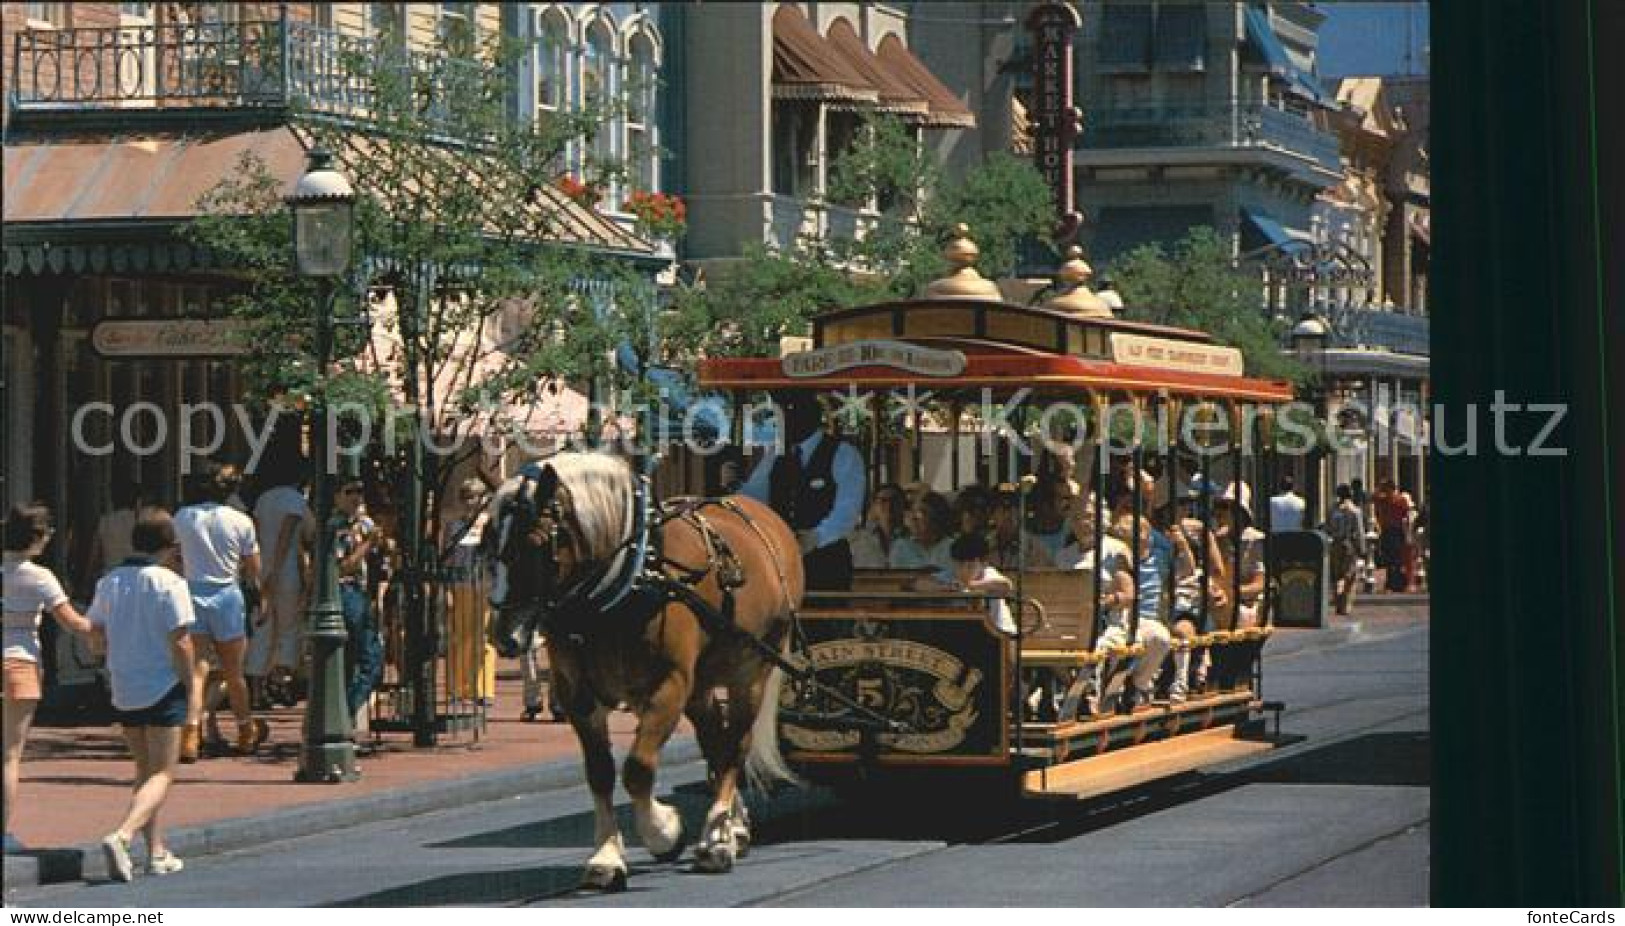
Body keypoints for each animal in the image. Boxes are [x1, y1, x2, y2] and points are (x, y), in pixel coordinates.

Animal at [487, 451, 806, 883]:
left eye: (535, 542)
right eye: (488, 540)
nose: (504, 635)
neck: (629, 580)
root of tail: (766, 519)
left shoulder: (668, 686)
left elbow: (637, 767)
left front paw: (664, 833)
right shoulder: (578, 695)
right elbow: (600, 772)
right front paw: (607, 856)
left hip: (751, 670)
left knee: (734, 746)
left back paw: (716, 842)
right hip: (701, 684)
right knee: (715, 743)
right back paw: (731, 829)